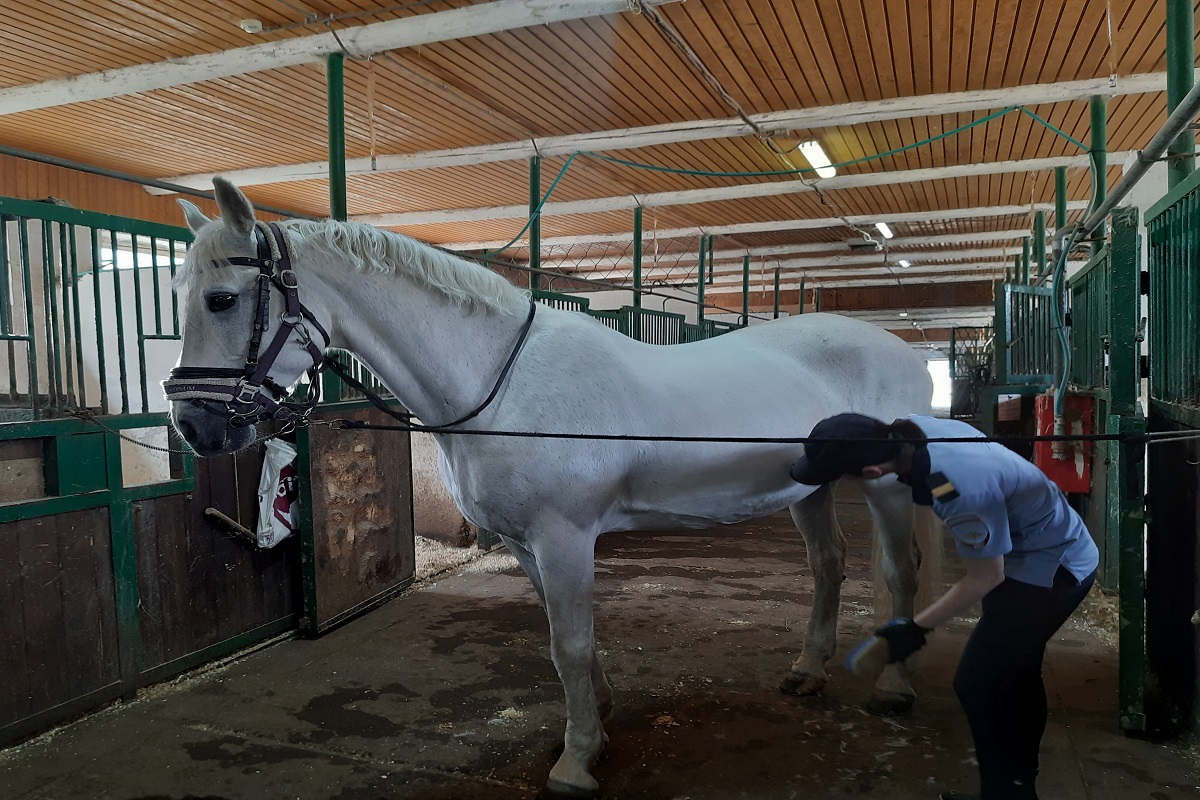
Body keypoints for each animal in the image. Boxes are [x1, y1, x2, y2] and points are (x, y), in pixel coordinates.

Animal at [166, 181, 936, 800]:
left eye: (222, 299)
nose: (194, 427)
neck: (500, 385)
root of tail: (899, 349)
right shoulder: (525, 543)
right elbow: (568, 642)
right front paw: (597, 721)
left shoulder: (566, 537)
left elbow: (568, 641)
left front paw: (575, 763)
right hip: (808, 489)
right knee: (829, 566)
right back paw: (807, 671)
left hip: (888, 487)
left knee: (899, 570)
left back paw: (896, 690)